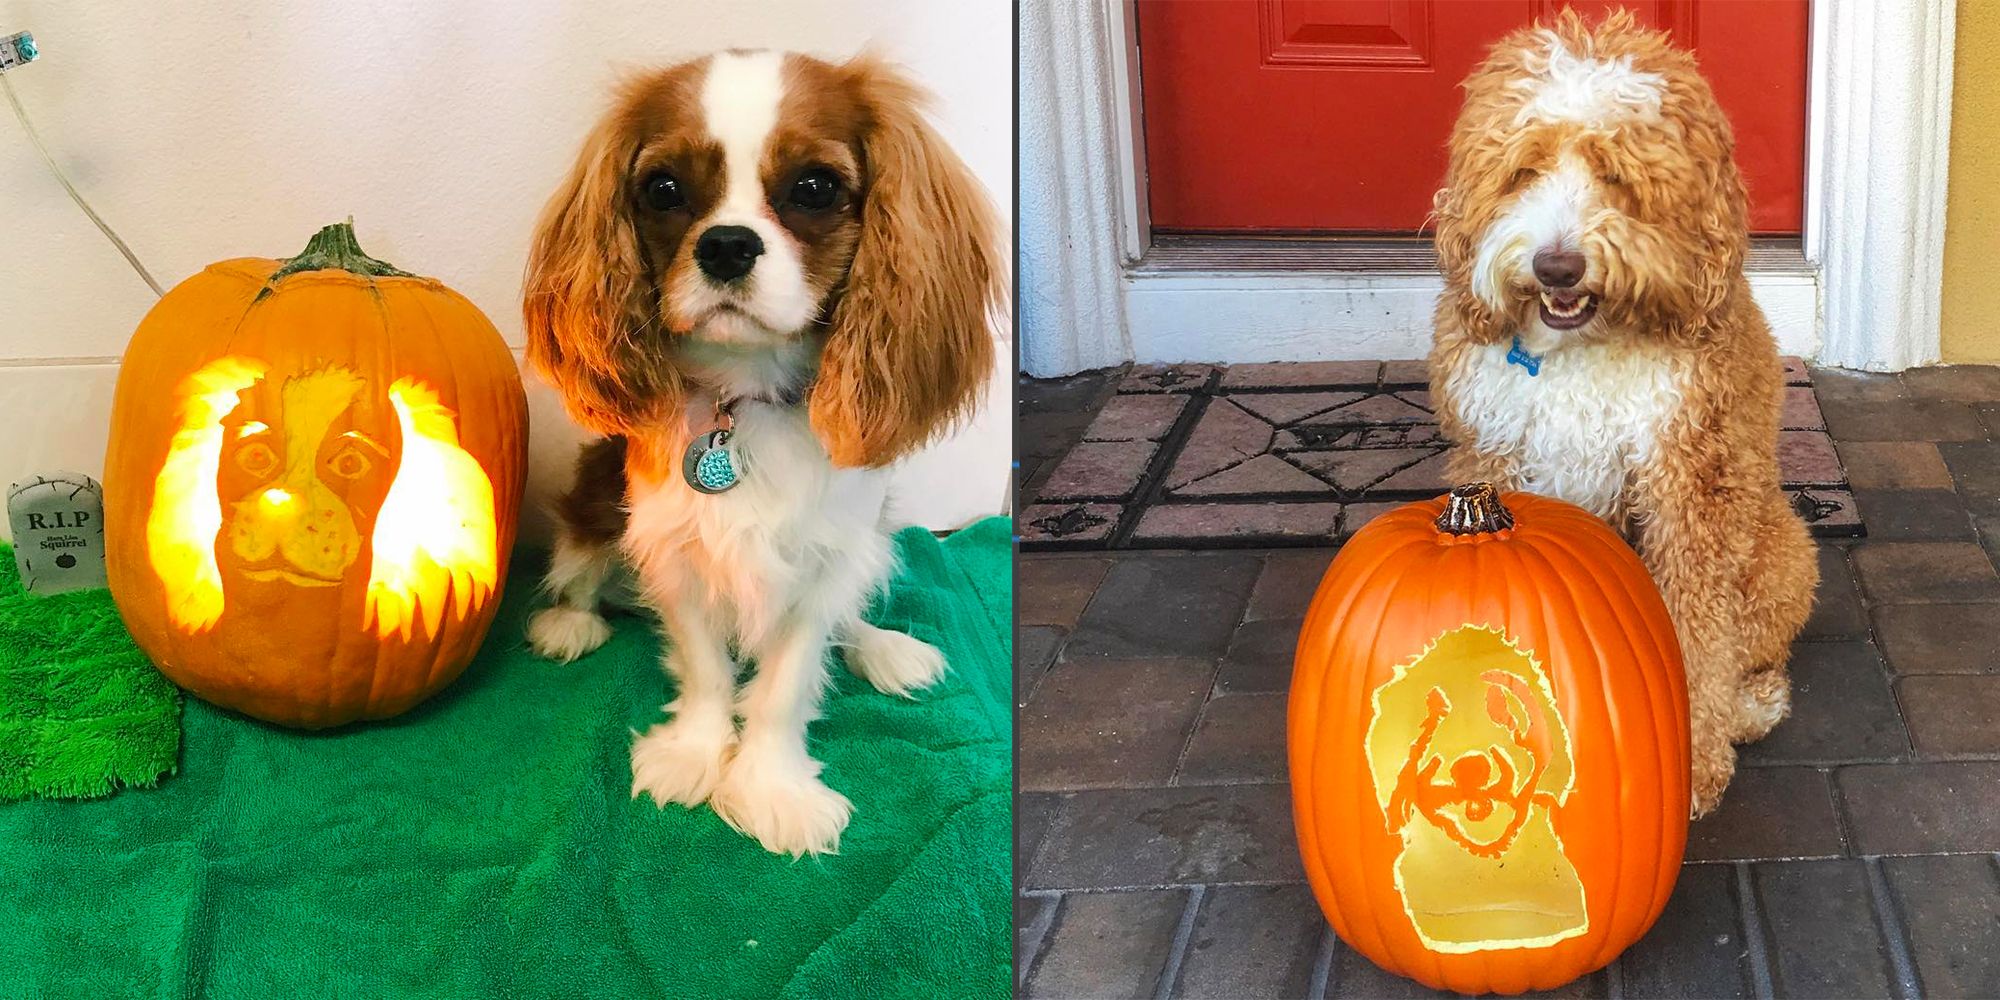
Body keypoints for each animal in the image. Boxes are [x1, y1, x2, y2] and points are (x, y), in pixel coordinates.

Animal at [1424, 11, 1816, 816]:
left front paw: (1694, 761)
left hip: (1783, 555)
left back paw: (1750, 707)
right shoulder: (1495, 453)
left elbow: (1697, 638)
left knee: (1752, 651)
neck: (1580, 347)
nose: (1557, 265)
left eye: (1618, 174)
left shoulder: (1692, 487)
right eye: (1524, 169)